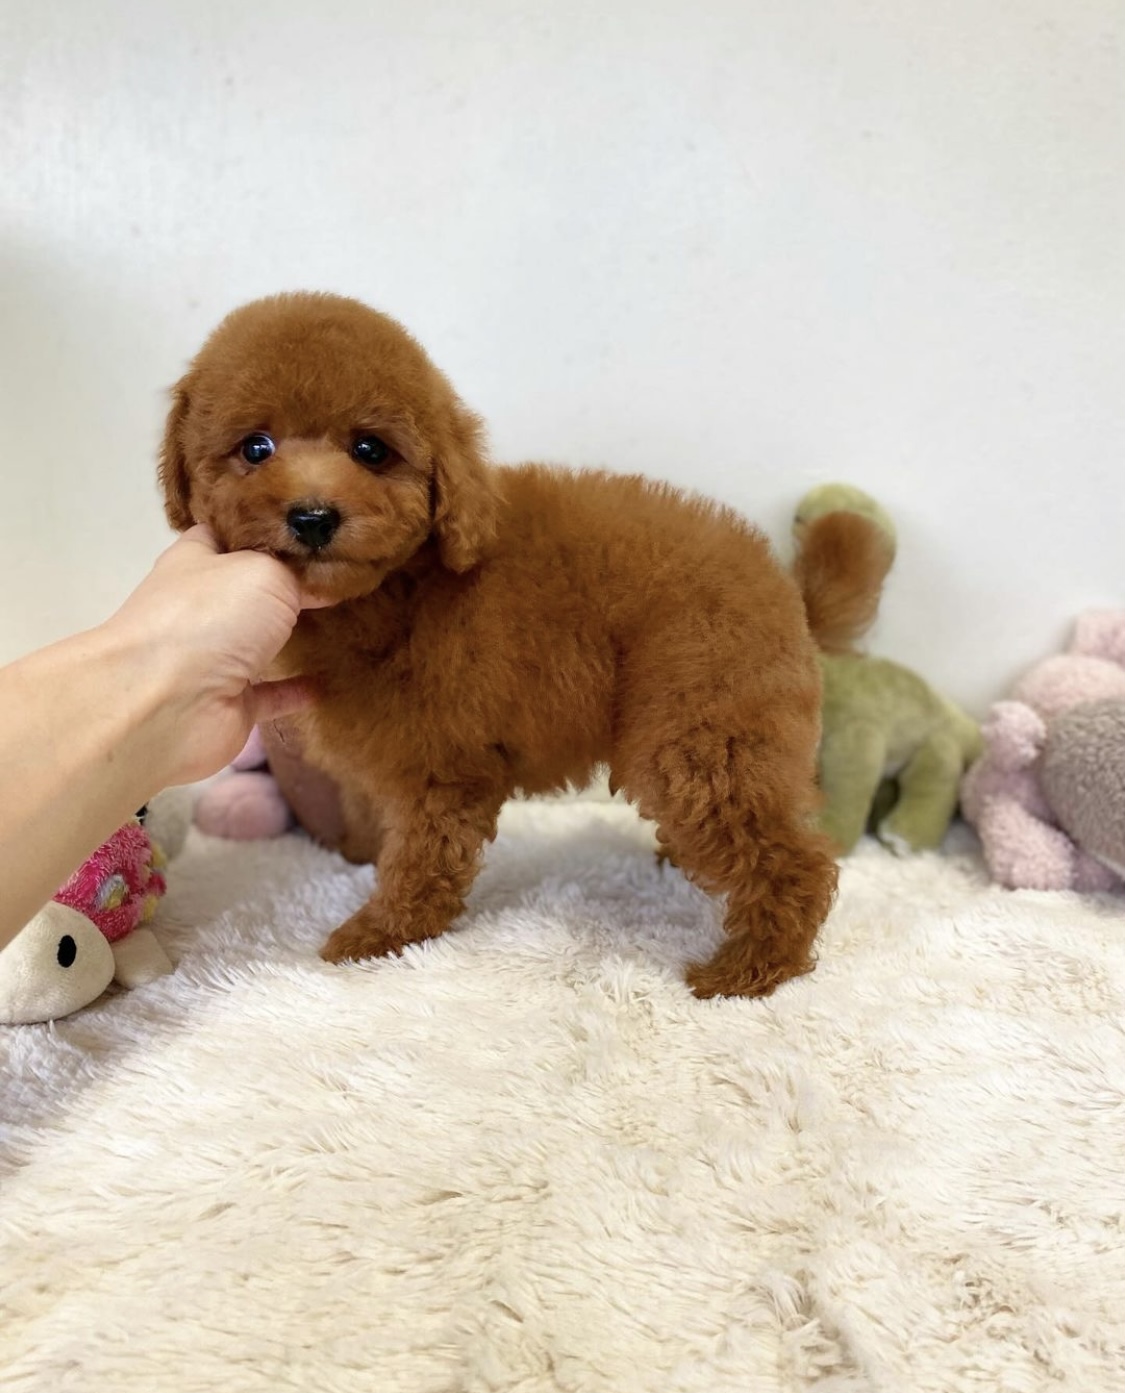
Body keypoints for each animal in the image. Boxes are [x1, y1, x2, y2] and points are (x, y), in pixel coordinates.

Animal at [159, 292, 839, 998]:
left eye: (371, 450)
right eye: (255, 448)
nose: (314, 517)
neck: (399, 586)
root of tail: (779, 580)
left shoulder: (443, 763)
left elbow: (421, 859)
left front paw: (378, 934)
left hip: (700, 728)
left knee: (792, 858)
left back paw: (749, 969)